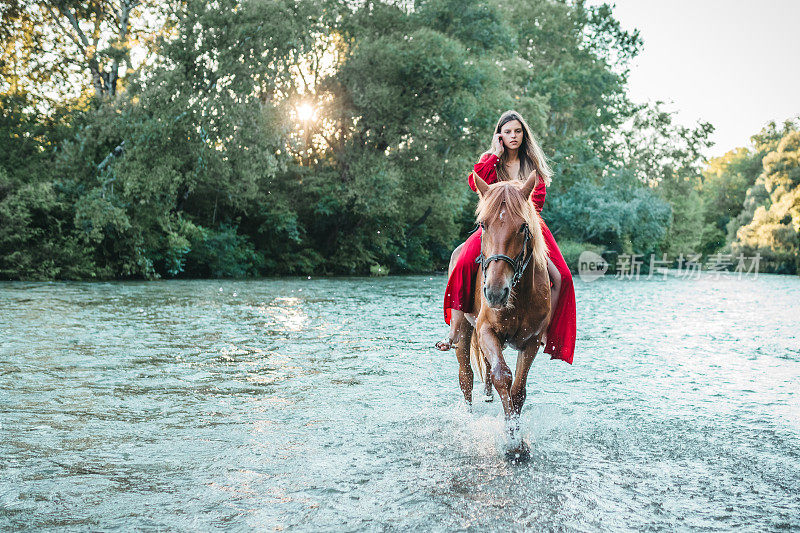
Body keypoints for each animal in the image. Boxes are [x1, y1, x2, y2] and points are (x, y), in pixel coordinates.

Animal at [450, 170, 552, 454]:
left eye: (523, 226)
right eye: (483, 225)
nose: (495, 292)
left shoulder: (531, 342)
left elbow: (518, 390)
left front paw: (517, 439)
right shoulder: (486, 331)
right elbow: (501, 377)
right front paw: (511, 441)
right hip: (464, 330)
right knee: (466, 375)